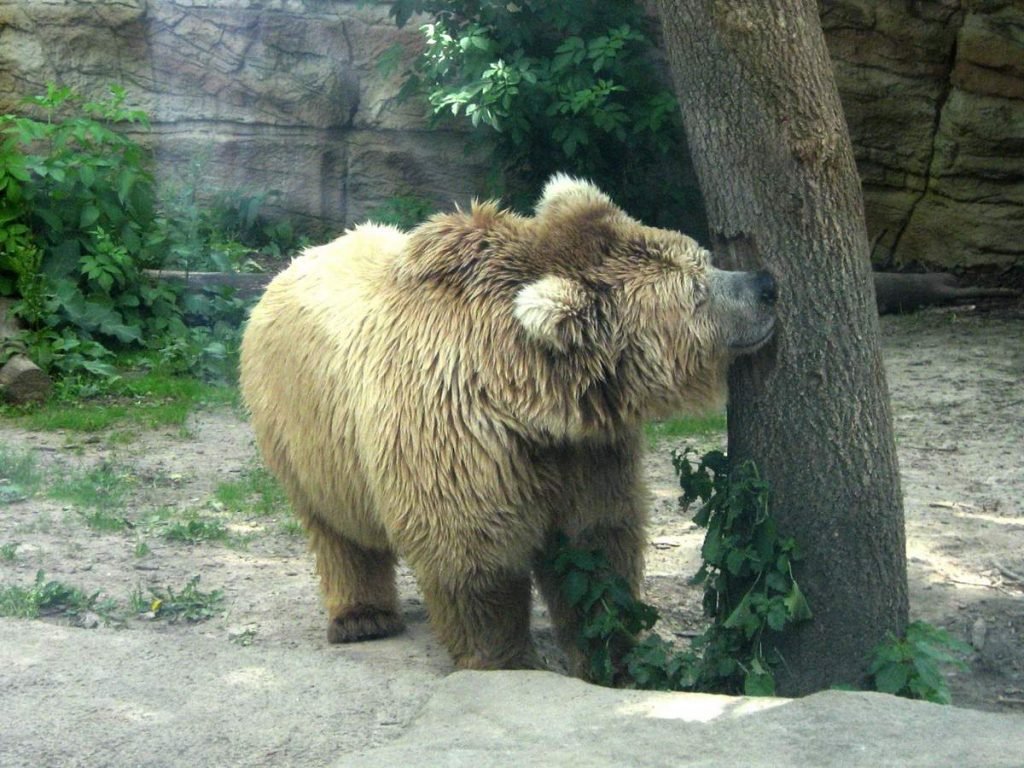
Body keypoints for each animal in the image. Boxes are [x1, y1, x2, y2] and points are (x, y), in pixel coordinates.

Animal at [239, 176, 774, 679]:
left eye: (703, 257)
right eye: (696, 292)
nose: (766, 284)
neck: (531, 400)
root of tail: (297, 260)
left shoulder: (587, 453)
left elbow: (596, 542)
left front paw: (610, 654)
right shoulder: (458, 440)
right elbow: (476, 556)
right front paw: (504, 658)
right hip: (303, 427)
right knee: (335, 528)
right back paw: (362, 617)